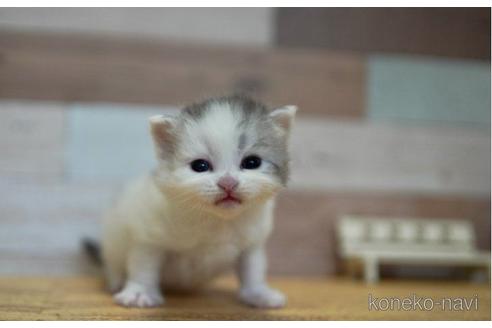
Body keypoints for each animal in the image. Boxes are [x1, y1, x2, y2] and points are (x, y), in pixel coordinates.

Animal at [100, 94, 296, 308]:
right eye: (200, 166)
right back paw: (116, 281)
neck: (218, 221)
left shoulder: (252, 243)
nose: (228, 183)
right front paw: (139, 292)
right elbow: (144, 265)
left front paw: (258, 294)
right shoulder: (148, 236)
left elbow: (253, 269)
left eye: (252, 162)